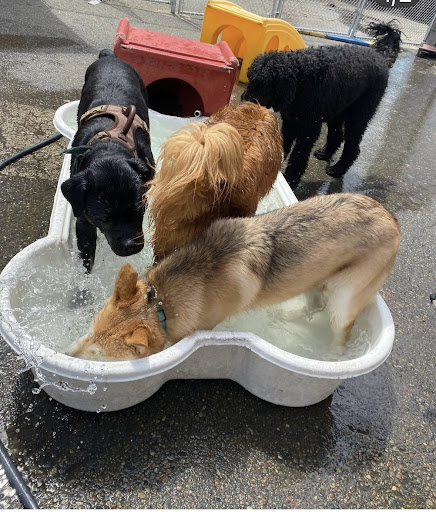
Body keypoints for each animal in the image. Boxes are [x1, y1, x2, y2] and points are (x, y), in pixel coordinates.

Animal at [60, 49, 156, 272]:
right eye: (105, 218)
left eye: (138, 209)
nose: (130, 246)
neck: (109, 146)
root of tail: (109, 56)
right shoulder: (83, 219)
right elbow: (87, 257)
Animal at [69, 194, 402, 362]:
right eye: (88, 331)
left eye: (99, 354)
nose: (66, 353)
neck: (161, 303)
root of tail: (391, 217)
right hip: (316, 276)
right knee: (315, 303)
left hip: (345, 298)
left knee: (341, 330)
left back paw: (332, 357)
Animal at [242, 22, 402, 190]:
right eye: (250, 79)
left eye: (263, 86)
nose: (244, 99)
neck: (301, 79)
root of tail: (380, 57)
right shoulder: (290, 122)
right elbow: (283, 143)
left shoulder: (309, 129)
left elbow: (298, 156)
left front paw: (291, 180)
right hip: (338, 111)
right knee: (337, 136)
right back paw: (325, 154)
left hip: (358, 117)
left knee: (352, 147)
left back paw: (337, 170)